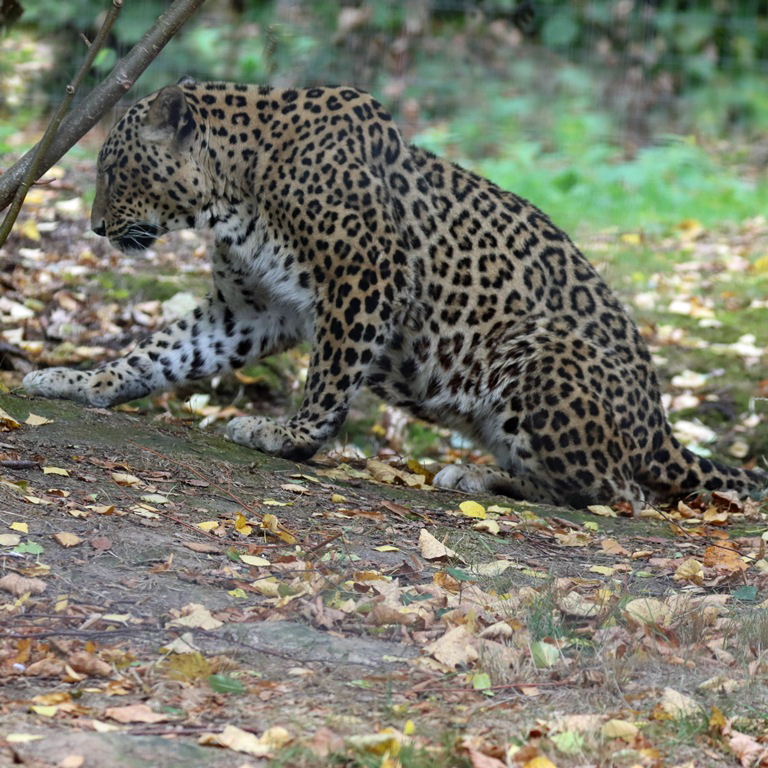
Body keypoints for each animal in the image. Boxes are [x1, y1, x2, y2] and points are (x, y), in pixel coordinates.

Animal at [24, 79, 766, 509]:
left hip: (537, 351)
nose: (96, 227)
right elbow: (160, 352)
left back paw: (483, 479)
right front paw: (79, 382)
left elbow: (329, 375)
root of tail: (661, 426)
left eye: (114, 169)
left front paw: (287, 435)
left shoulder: (365, 274)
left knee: (621, 494)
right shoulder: (252, 309)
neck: (235, 188)